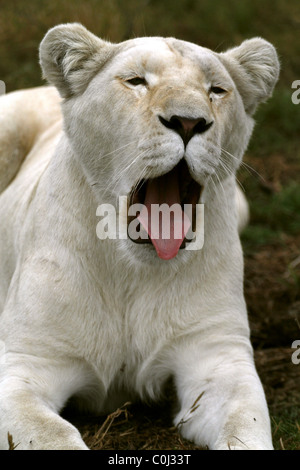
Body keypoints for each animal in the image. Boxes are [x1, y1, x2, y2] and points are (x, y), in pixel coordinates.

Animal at [0, 23, 278, 450]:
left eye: (216, 89)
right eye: (136, 81)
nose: (188, 123)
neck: (132, 273)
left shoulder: (219, 357)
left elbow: (245, 428)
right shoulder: (27, 363)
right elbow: (54, 435)